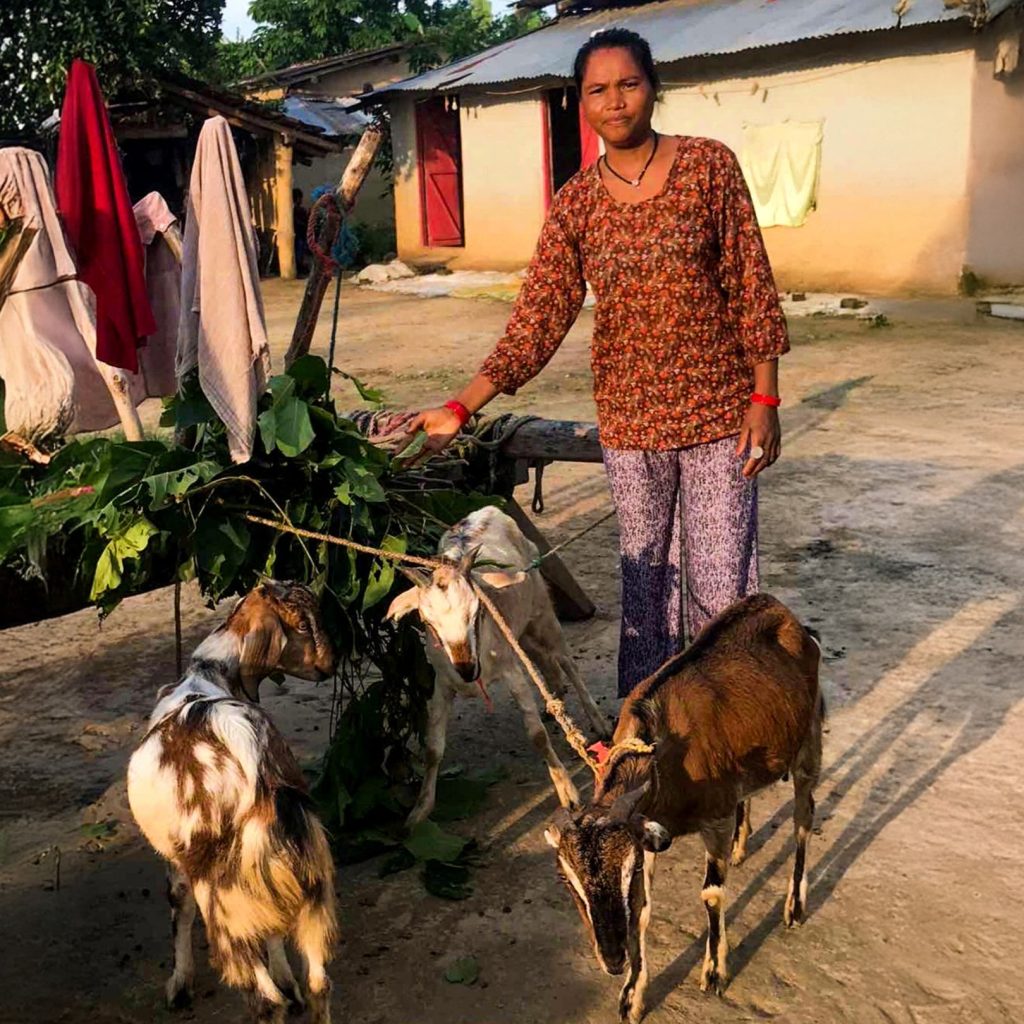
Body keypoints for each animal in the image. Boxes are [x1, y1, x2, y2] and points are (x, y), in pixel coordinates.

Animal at [126, 581, 337, 1019]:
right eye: (303, 625)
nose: (331, 664)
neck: (207, 673)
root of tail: (257, 776)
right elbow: (273, 933)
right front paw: (286, 978)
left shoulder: (176, 861)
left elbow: (179, 906)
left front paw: (179, 985)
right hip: (311, 879)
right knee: (319, 984)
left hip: (221, 898)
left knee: (265, 1001)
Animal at [385, 507, 606, 827]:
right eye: (427, 621)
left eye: (478, 611)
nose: (467, 669)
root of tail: (488, 510)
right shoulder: (442, 684)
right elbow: (433, 748)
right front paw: (419, 812)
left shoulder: (511, 671)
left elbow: (537, 736)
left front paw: (569, 794)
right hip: (520, 631)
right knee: (545, 661)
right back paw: (555, 698)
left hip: (542, 615)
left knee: (566, 661)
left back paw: (598, 722)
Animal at [544, 593, 823, 1024]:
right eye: (567, 882)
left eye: (624, 873)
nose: (612, 960)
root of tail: (782, 612)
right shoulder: (648, 833)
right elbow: (642, 908)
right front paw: (632, 995)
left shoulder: (716, 819)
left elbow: (712, 894)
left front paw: (714, 972)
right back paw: (742, 847)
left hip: (808, 742)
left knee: (802, 820)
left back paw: (794, 906)